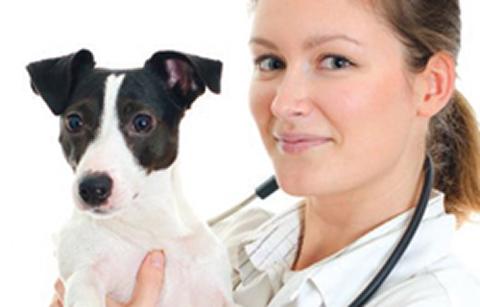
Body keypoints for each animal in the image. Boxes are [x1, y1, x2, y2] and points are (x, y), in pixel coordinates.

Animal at [28, 49, 234, 306]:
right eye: (74, 121)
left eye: (142, 122)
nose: (92, 188)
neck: (147, 223)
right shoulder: (83, 268)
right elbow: (85, 284)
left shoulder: (216, 290)